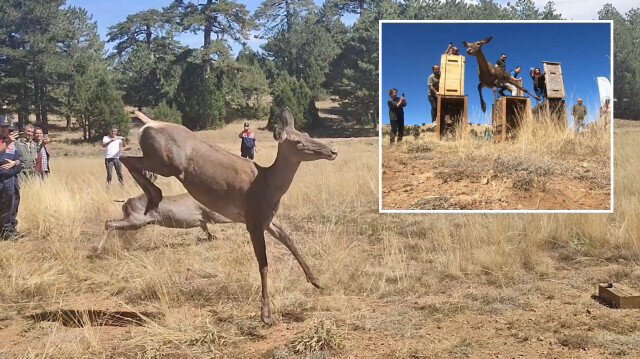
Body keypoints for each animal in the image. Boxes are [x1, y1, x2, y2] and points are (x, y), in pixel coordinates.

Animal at [120, 108, 340, 324]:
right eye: (298, 143)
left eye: (307, 134)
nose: (333, 151)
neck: (267, 186)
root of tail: (150, 123)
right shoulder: (252, 218)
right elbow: (263, 264)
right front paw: (266, 315)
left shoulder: (267, 219)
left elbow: (290, 241)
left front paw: (316, 281)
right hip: (163, 162)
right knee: (125, 158)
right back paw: (154, 196)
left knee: (127, 160)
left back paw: (153, 197)